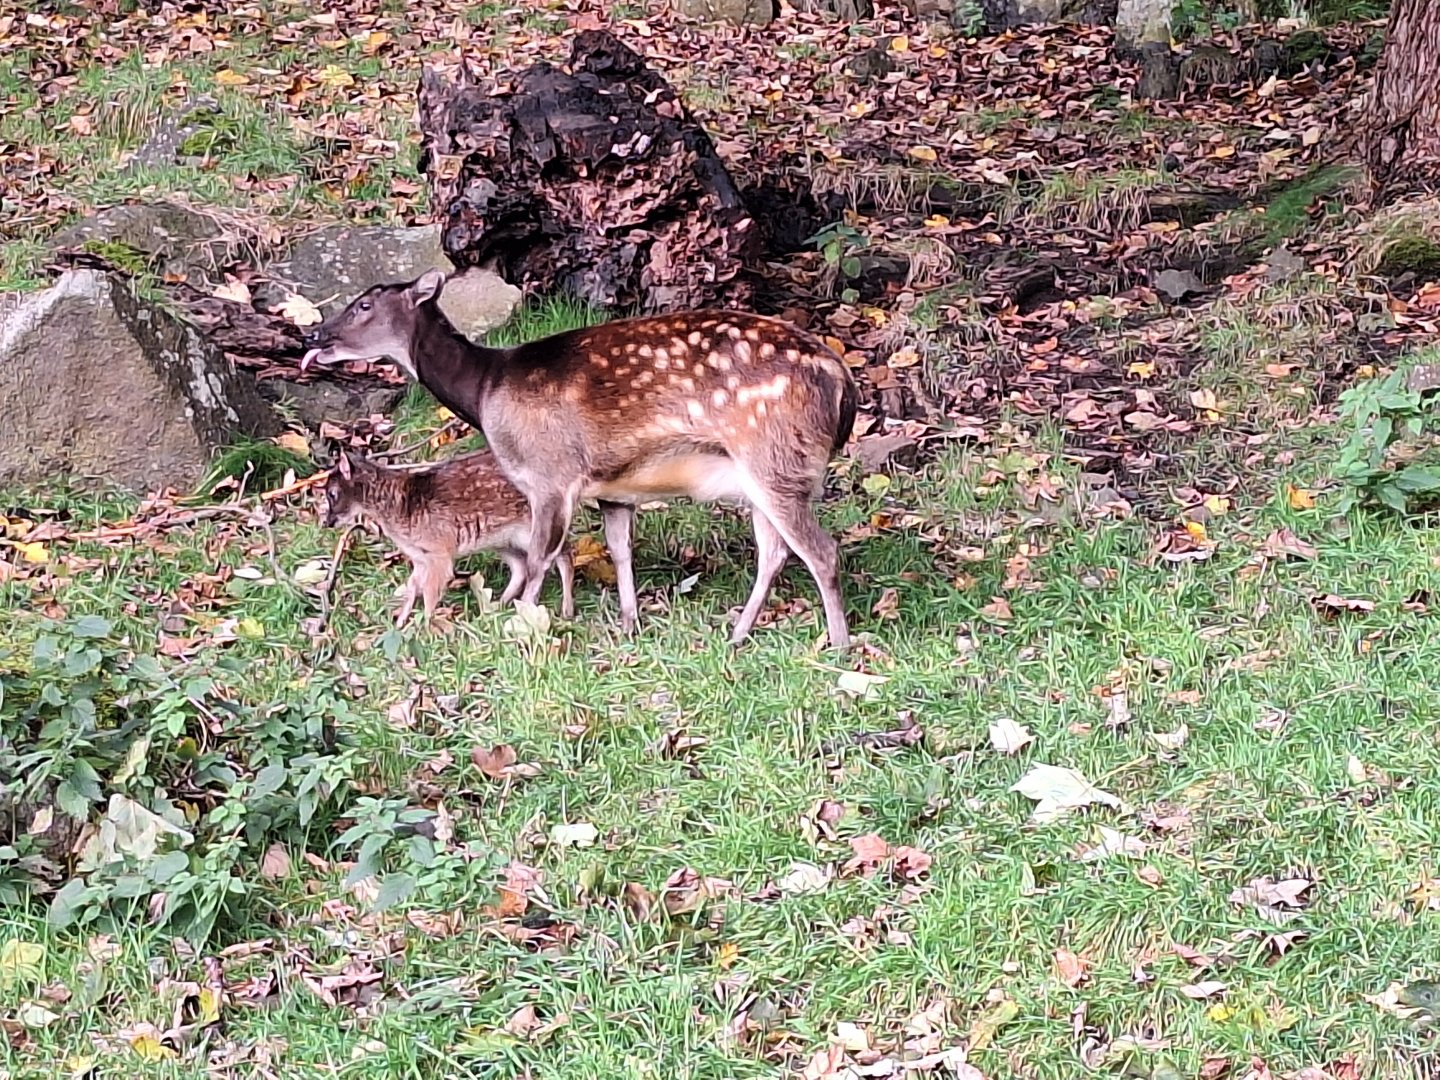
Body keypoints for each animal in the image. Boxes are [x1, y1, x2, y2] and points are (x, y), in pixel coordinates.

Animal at [321, 448, 575, 628]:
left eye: (332, 493)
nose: (327, 522)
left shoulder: (439, 549)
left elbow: (431, 591)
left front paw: (424, 627)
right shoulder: (420, 555)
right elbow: (413, 585)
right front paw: (401, 622)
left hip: (532, 527)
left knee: (563, 556)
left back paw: (566, 610)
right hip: (502, 539)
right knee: (521, 566)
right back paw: (496, 607)